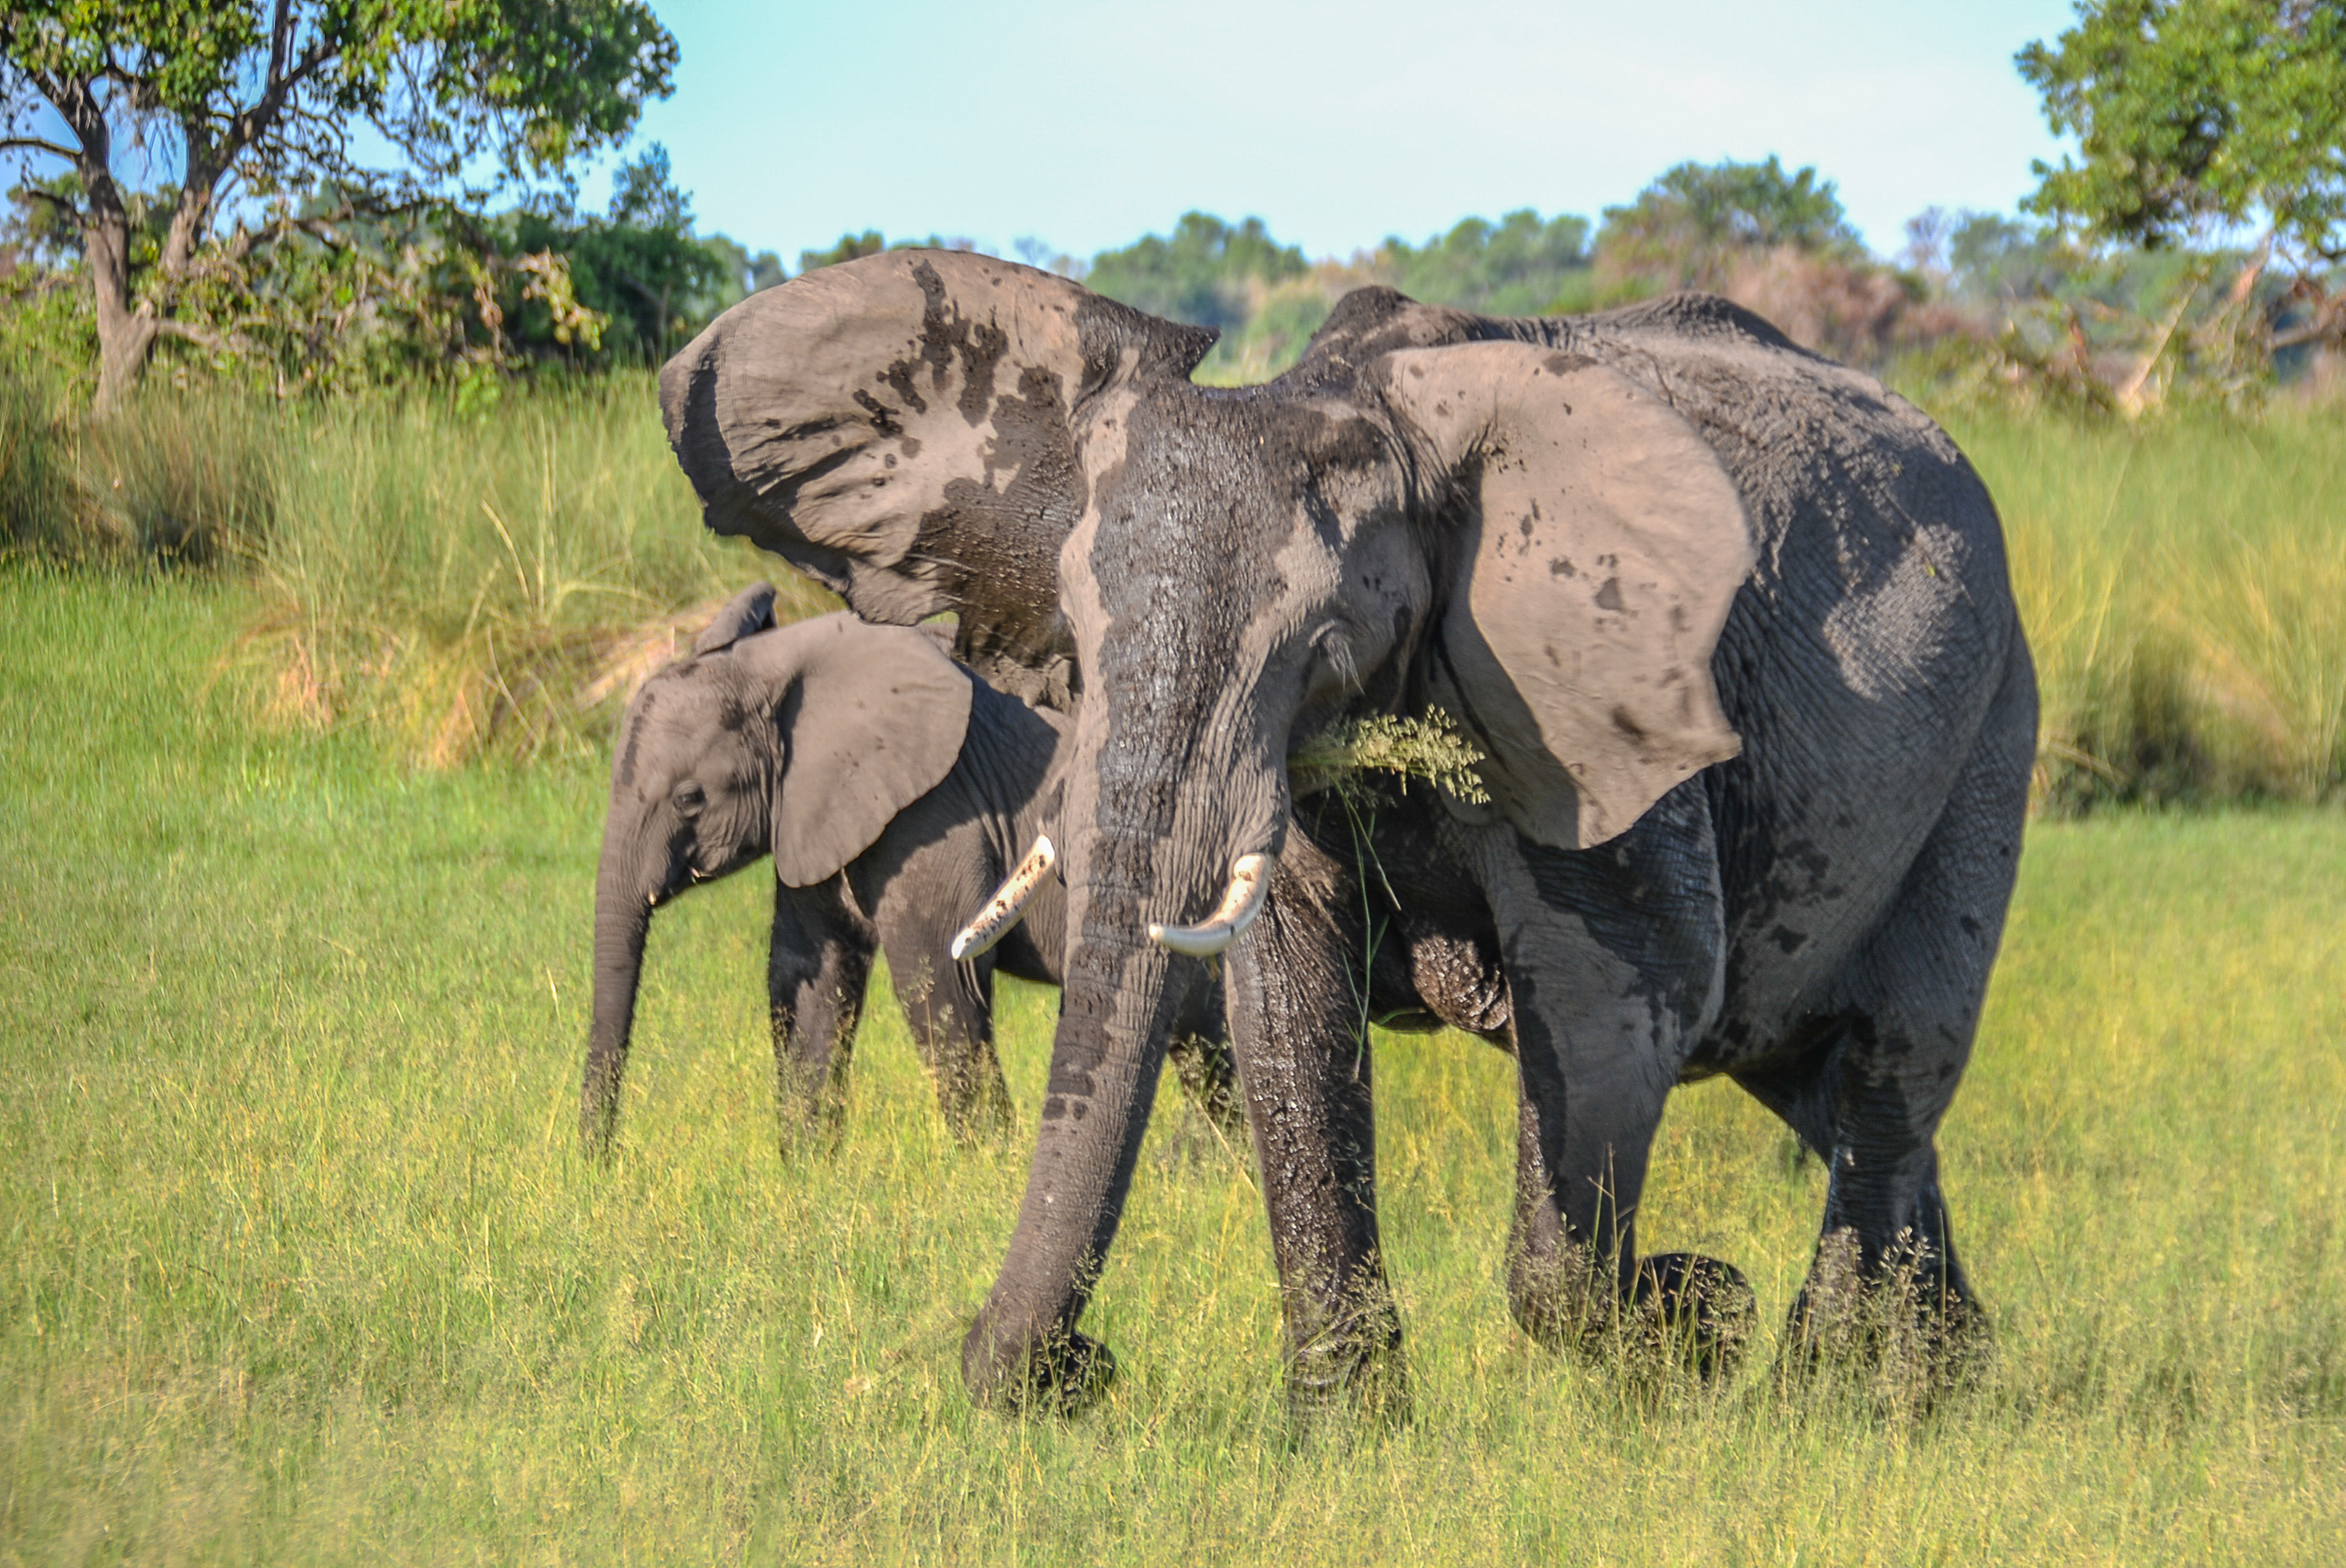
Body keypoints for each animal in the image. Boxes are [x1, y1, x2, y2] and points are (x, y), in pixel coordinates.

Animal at [579, 585, 1238, 1148]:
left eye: (690, 799)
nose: (598, 1163)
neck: (783, 663)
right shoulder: (814, 810)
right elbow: (812, 977)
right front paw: (807, 1173)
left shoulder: (935, 806)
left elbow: (935, 974)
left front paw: (985, 1164)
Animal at [661, 253, 2036, 1415]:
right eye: (1076, 642)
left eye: (1319, 650)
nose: (1076, 1369)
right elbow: (1286, 1006)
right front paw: (1344, 1432)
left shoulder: (1584, 695)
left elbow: (1619, 994)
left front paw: (1692, 1317)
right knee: (1813, 1070)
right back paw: (1950, 1374)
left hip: (1990, 730)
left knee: (1893, 1057)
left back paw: (1838, 1392)